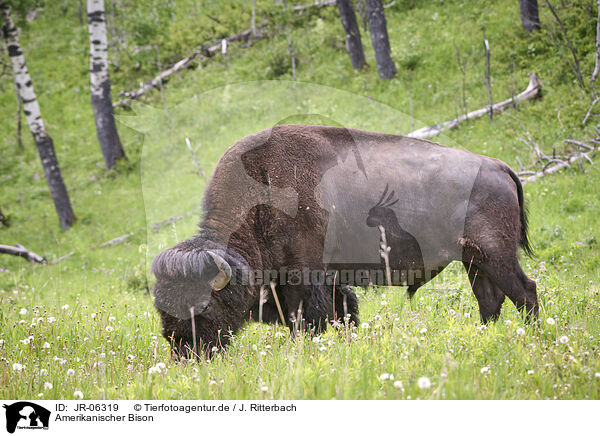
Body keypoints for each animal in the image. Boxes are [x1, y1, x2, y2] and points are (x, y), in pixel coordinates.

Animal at [152, 124, 536, 356]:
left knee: (524, 291)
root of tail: (499, 167)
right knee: (490, 301)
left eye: (203, 305)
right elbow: (345, 313)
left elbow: (312, 321)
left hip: (496, 255)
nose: (183, 350)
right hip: (475, 261)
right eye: (161, 306)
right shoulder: (330, 280)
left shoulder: (305, 280)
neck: (262, 198)